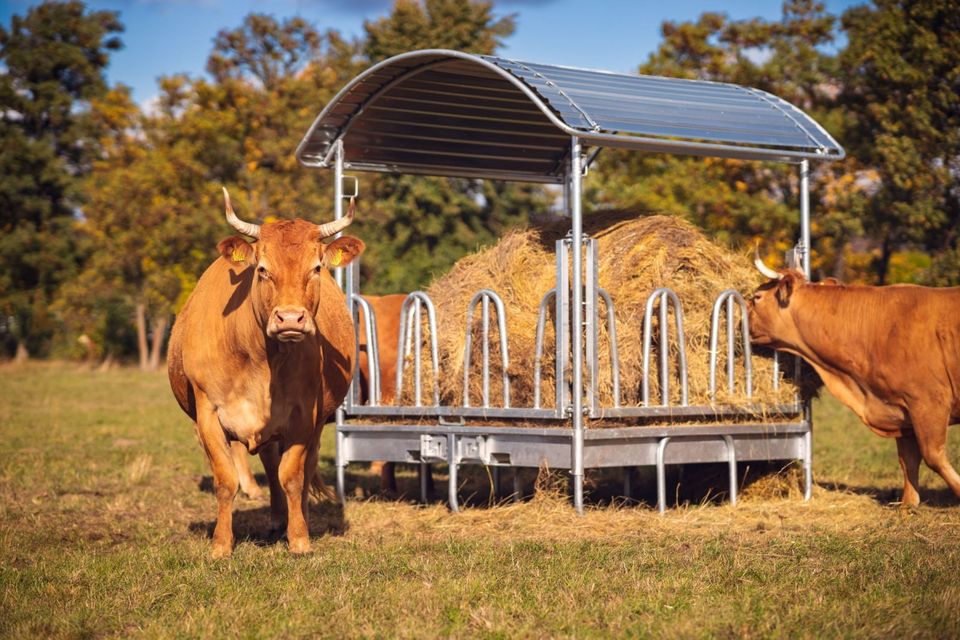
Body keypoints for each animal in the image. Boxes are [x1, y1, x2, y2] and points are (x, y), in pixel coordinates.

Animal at [169, 189, 364, 556]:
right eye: (262, 269)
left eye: (316, 268)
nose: (290, 319)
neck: (259, 360)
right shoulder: (208, 413)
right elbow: (226, 479)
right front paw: (221, 545)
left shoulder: (304, 415)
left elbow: (293, 476)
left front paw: (299, 538)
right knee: (270, 465)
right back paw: (275, 520)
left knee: (299, 470)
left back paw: (292, 519)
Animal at [752, 252, 960, 508]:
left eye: (757, 297)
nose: (741, 322)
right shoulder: (902, 410)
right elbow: (908, 459)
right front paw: (908, 504)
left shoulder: (928, 401)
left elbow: (933, 455)